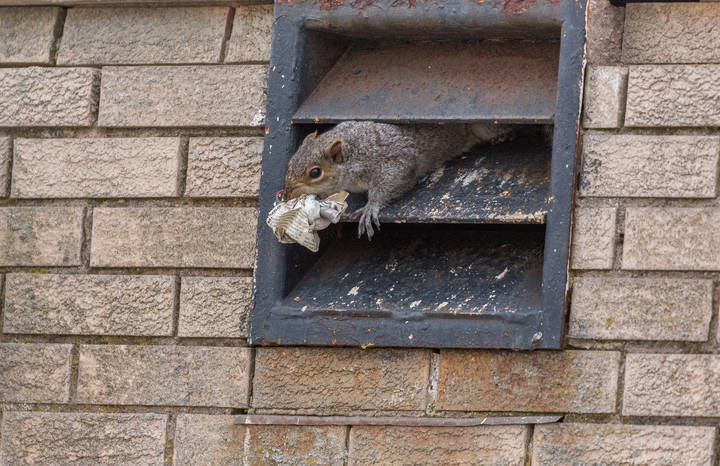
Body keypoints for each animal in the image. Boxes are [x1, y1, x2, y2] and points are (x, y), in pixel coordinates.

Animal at [284, 121, 513, 239]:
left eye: (315, 172)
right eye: (291, 161)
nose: (286, 195)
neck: (353, 152)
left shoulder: (390, 160)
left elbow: (392, 181)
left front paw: (371, 208)